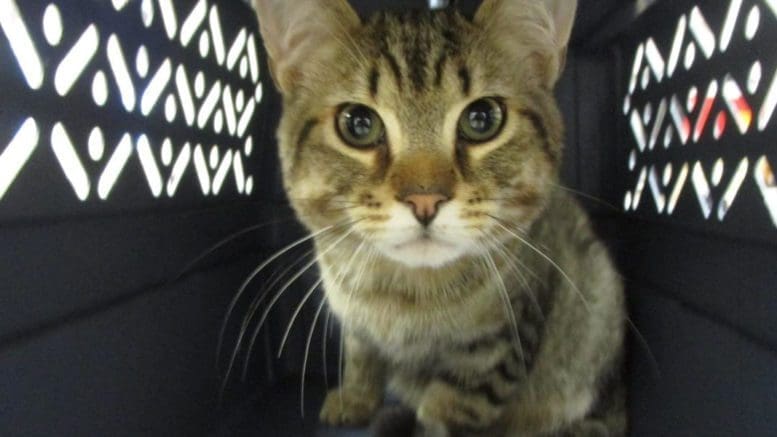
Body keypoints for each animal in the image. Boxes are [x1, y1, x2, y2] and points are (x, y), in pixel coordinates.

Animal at [252, 1, 628, 434]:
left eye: (482, 119)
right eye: (358, 124)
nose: (425, 199)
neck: (403, 294)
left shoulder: (497, 347)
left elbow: (449, 410)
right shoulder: (356, 325)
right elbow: (361, 357)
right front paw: (356, 399)